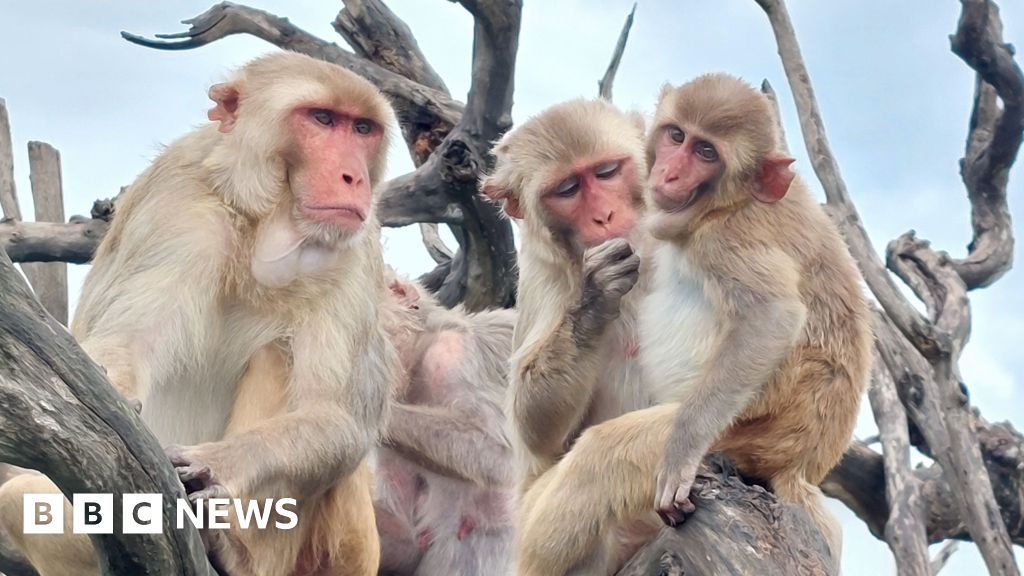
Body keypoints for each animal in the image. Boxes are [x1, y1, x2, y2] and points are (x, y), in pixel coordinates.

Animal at [0, 50, 399, 573]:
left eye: (362, 128)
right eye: (323, 119)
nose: (354, 177)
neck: (257, 213)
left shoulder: (356, 248)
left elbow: (336, 417)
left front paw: (216, 467)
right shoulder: (180, 212)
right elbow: (125, 346)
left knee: (280, 355)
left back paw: (235, 552)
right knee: (19, 498)